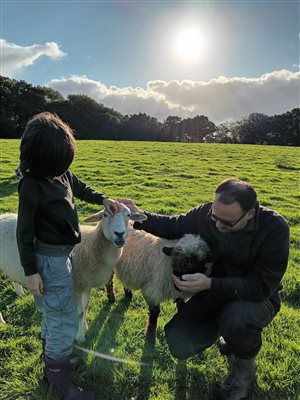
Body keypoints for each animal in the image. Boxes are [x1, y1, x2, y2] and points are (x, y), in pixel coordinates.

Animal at [0, 206, 145, 344]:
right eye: (105, 215)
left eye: (128, 215)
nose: (119, 234)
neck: (93, 246)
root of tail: (3, 216)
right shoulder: (75, 286)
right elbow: (79, 312)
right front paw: (79, 336)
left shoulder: (86, 284)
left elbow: (85, 307)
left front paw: (84, 326)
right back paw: (2, 322)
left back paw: (20, 292)